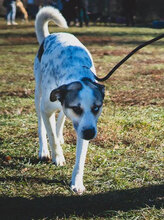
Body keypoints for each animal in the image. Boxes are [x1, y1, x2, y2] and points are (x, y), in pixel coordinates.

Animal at [34, 6, 104, 193]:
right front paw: (57, 157)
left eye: (96, 108)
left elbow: (80, 157)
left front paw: (77, 182)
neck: (76, 75)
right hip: (39, 93)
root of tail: (51, 36)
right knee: (42, 124)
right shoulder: (48, 109)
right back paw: (44, 150)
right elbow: (50, 134)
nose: (90, 133)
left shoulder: (84, 123)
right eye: (77, 108)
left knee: (61, 118)